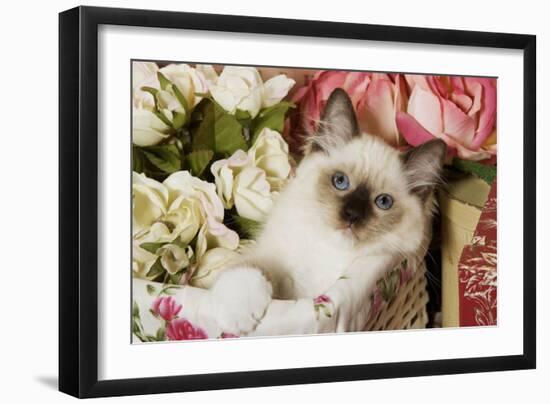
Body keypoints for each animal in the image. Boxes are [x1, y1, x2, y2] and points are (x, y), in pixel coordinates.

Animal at [207, 88, 448, 334]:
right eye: (340, 181)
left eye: (383, 202)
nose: (352, 215)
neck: (329, 252)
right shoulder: (274, 262)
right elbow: (249, 268)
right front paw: (237, 316)